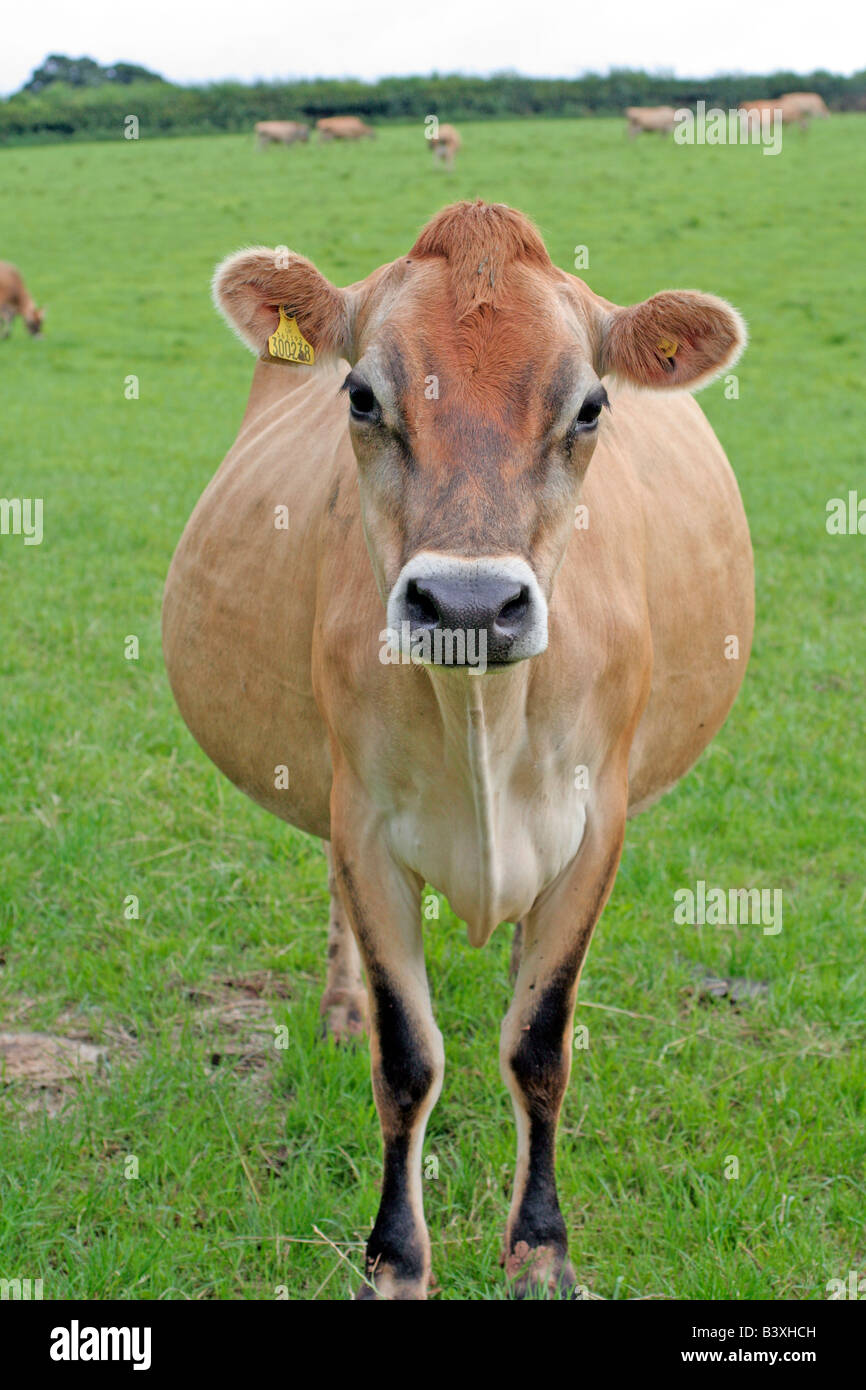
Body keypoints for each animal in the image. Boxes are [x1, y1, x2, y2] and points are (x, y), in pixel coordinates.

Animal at [162, 198, 750, 1301]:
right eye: (360, 394)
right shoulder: (365, 822)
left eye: (590, 407)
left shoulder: (595, 825)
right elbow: (406, 1058)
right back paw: (340, 1010)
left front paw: (541, 1250)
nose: (469, 604)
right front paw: (394, 1258)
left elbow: (538, 1044)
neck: (482, 713)